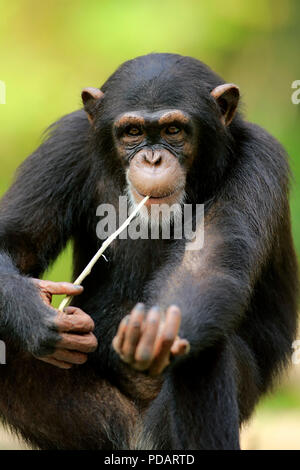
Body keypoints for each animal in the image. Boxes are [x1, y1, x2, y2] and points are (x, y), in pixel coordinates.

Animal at [0, 53, 298, 450]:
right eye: (132, 132)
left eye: (173, 131)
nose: (153, 159)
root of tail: (136, 438)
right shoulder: (65, 145)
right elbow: (14, 240)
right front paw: (34, 313)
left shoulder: (259, 161)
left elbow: (203, 268)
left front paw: (156, 332)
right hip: (97, 425)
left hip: (159, 429)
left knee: (208, 348)